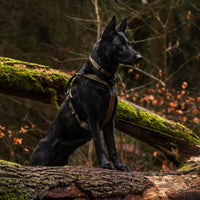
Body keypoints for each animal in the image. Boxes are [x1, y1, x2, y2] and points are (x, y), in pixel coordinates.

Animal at [30, 16, 142, 171]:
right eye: (120, 44)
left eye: (128, 43)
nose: (139, 57)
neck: (102, 77)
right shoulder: (93, 118)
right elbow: (99, 144)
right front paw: (105, 164)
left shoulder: (110, 122)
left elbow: (112, 147)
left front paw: (119, 166)